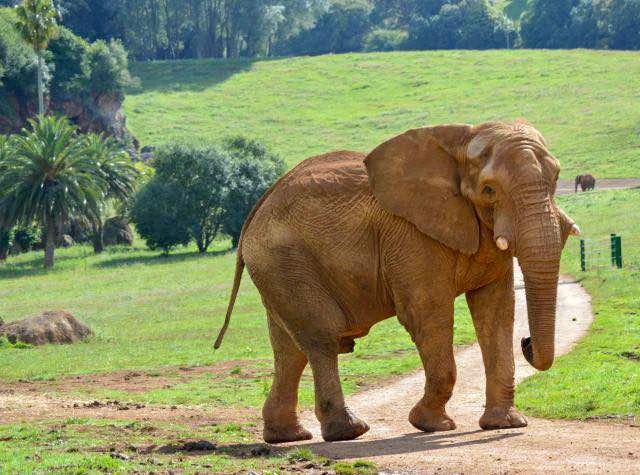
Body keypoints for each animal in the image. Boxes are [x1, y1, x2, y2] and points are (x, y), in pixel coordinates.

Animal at [214, 121, 581, 444]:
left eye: (555, 179)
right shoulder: (412, 236)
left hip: (278, 268)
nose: (527, 342)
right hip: (286, 260)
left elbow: (496, 311)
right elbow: (427, 313)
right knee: (320, 337)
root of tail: (256, 209)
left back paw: (287, 437)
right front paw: (431, 426)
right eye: (489, 190)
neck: (461, 141)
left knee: (289, 349)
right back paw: (348, 432)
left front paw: (505, 424)